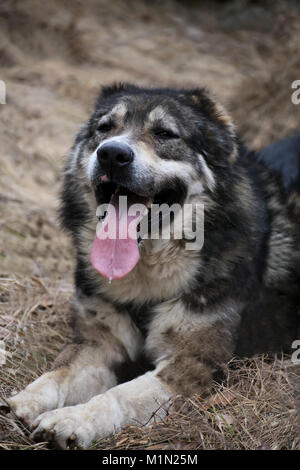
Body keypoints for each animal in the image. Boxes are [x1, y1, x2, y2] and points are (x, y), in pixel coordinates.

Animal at [5, 83, 300, 448]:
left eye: (164, 133)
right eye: (104, 128)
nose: (112, 154)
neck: (147, 272)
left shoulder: (192, 363)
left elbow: (119, 394)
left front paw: (73, 419)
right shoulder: (98, 345)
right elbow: (58, 373)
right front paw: (25, 402)